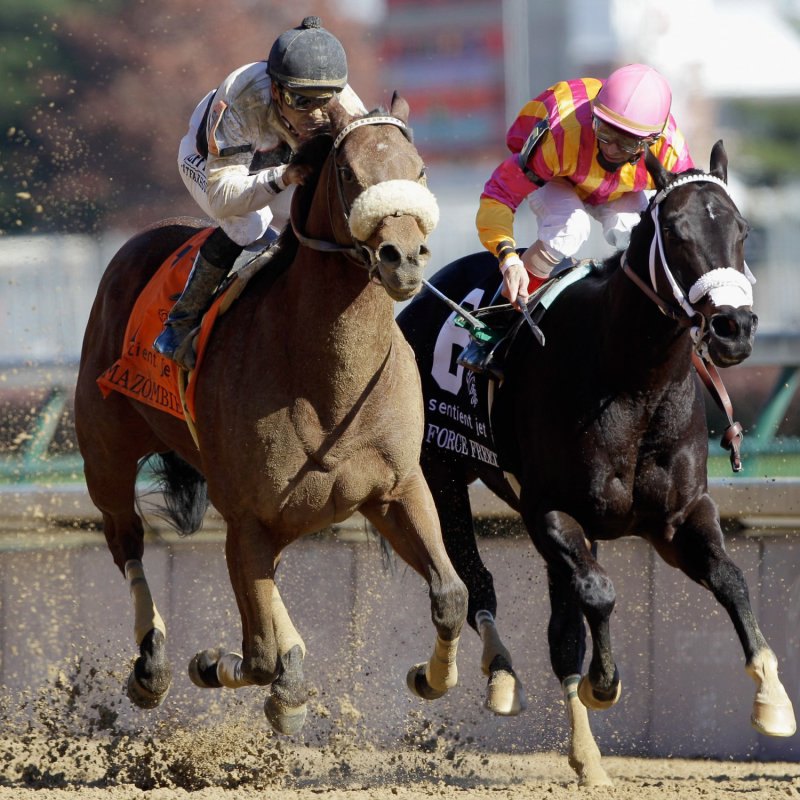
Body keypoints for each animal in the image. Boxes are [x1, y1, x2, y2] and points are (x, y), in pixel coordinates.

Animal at [75, 95, 468, 736]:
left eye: (421, 170)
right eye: (348, 174)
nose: (404, 259)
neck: (328, 383)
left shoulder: (395, 489)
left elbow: (450, 595)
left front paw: (430, 677)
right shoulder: (247, 517)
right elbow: (259, 657)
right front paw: (221, 667)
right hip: (105, 452)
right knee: (125, 538)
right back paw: (152, 666)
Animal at [396, 141, 796, 784]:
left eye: (742, 229)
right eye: (676, 231)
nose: (733, 328)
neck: (634, 385)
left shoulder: (678, 516)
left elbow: (731, 580)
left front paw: (772, 701)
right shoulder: (552, 511)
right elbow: (599, 597)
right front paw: (603, 686)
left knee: (560, 622)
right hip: (441, 475)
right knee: (473, 580)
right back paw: (476, 675)